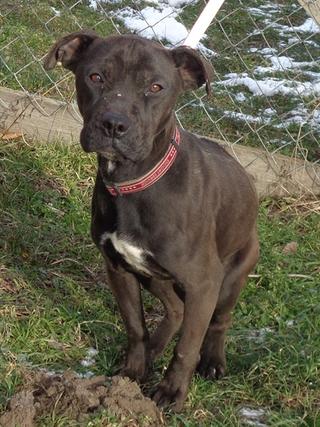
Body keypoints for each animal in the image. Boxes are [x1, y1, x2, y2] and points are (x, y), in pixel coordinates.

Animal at [45, 30, 260, 412]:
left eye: (156, 87)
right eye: (95, 77)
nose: (114, 124)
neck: (134, 180)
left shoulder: (204, 284)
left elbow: (187, 347)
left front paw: (172, 392)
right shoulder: (119, 267)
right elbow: (135, 326)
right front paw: (132, 374)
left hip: (233, 274)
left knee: (218, 321)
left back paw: (213, 361)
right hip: (151, 274)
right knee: (175, 309)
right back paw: (153, 352)